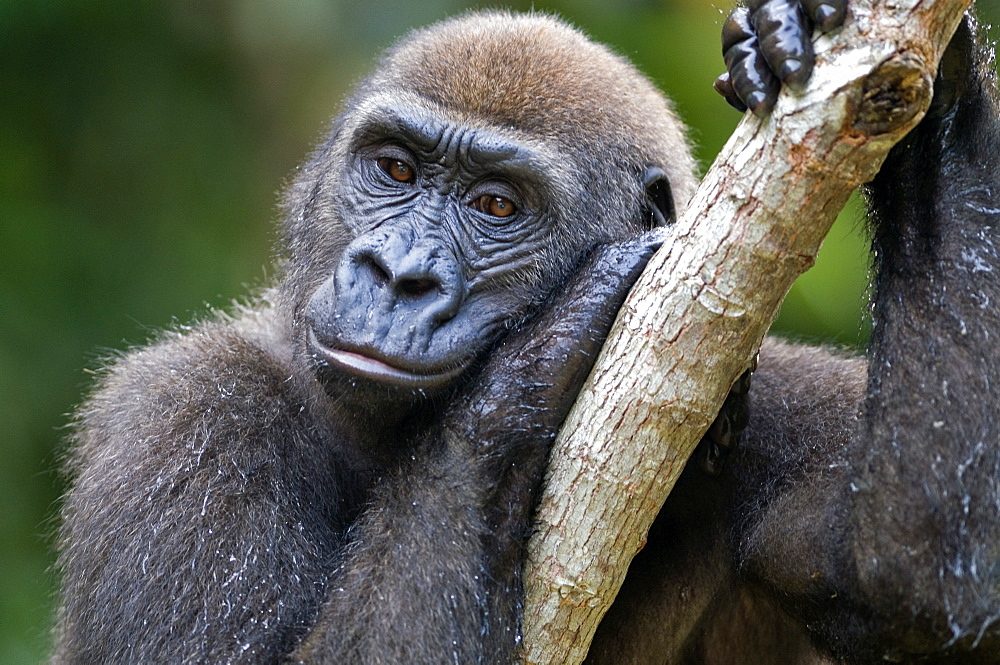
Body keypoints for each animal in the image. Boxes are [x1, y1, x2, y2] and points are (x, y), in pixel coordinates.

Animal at [52, 1, 1000, 664]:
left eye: (497, 207)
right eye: (393, 169)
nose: (397, 276)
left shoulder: (761, 395)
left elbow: (912, 577)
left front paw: (942, 85)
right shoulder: (179, 412)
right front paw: (539, 358)